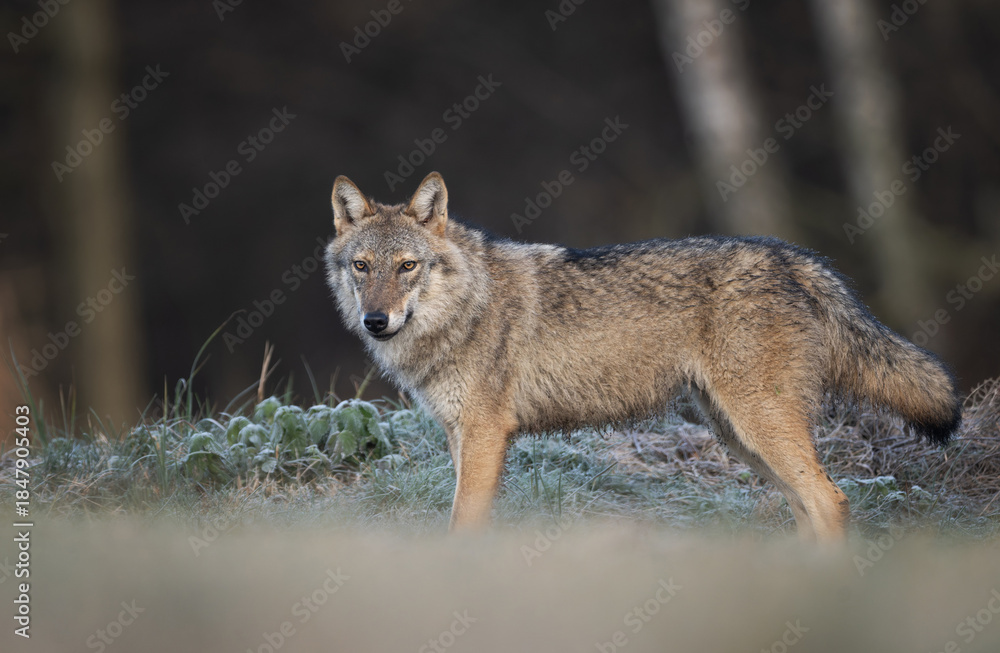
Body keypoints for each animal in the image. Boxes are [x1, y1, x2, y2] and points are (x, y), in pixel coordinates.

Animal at [324, 171, 961, 541]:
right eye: (362, 267)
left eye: (408, 266)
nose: (376, 321)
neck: (463, 308)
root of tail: (793, 257)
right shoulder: (461, 437)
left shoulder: (484, 435)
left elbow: (462, 527)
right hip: (741, 438)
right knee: (807, 507)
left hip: (760, 427)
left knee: (831, 501)